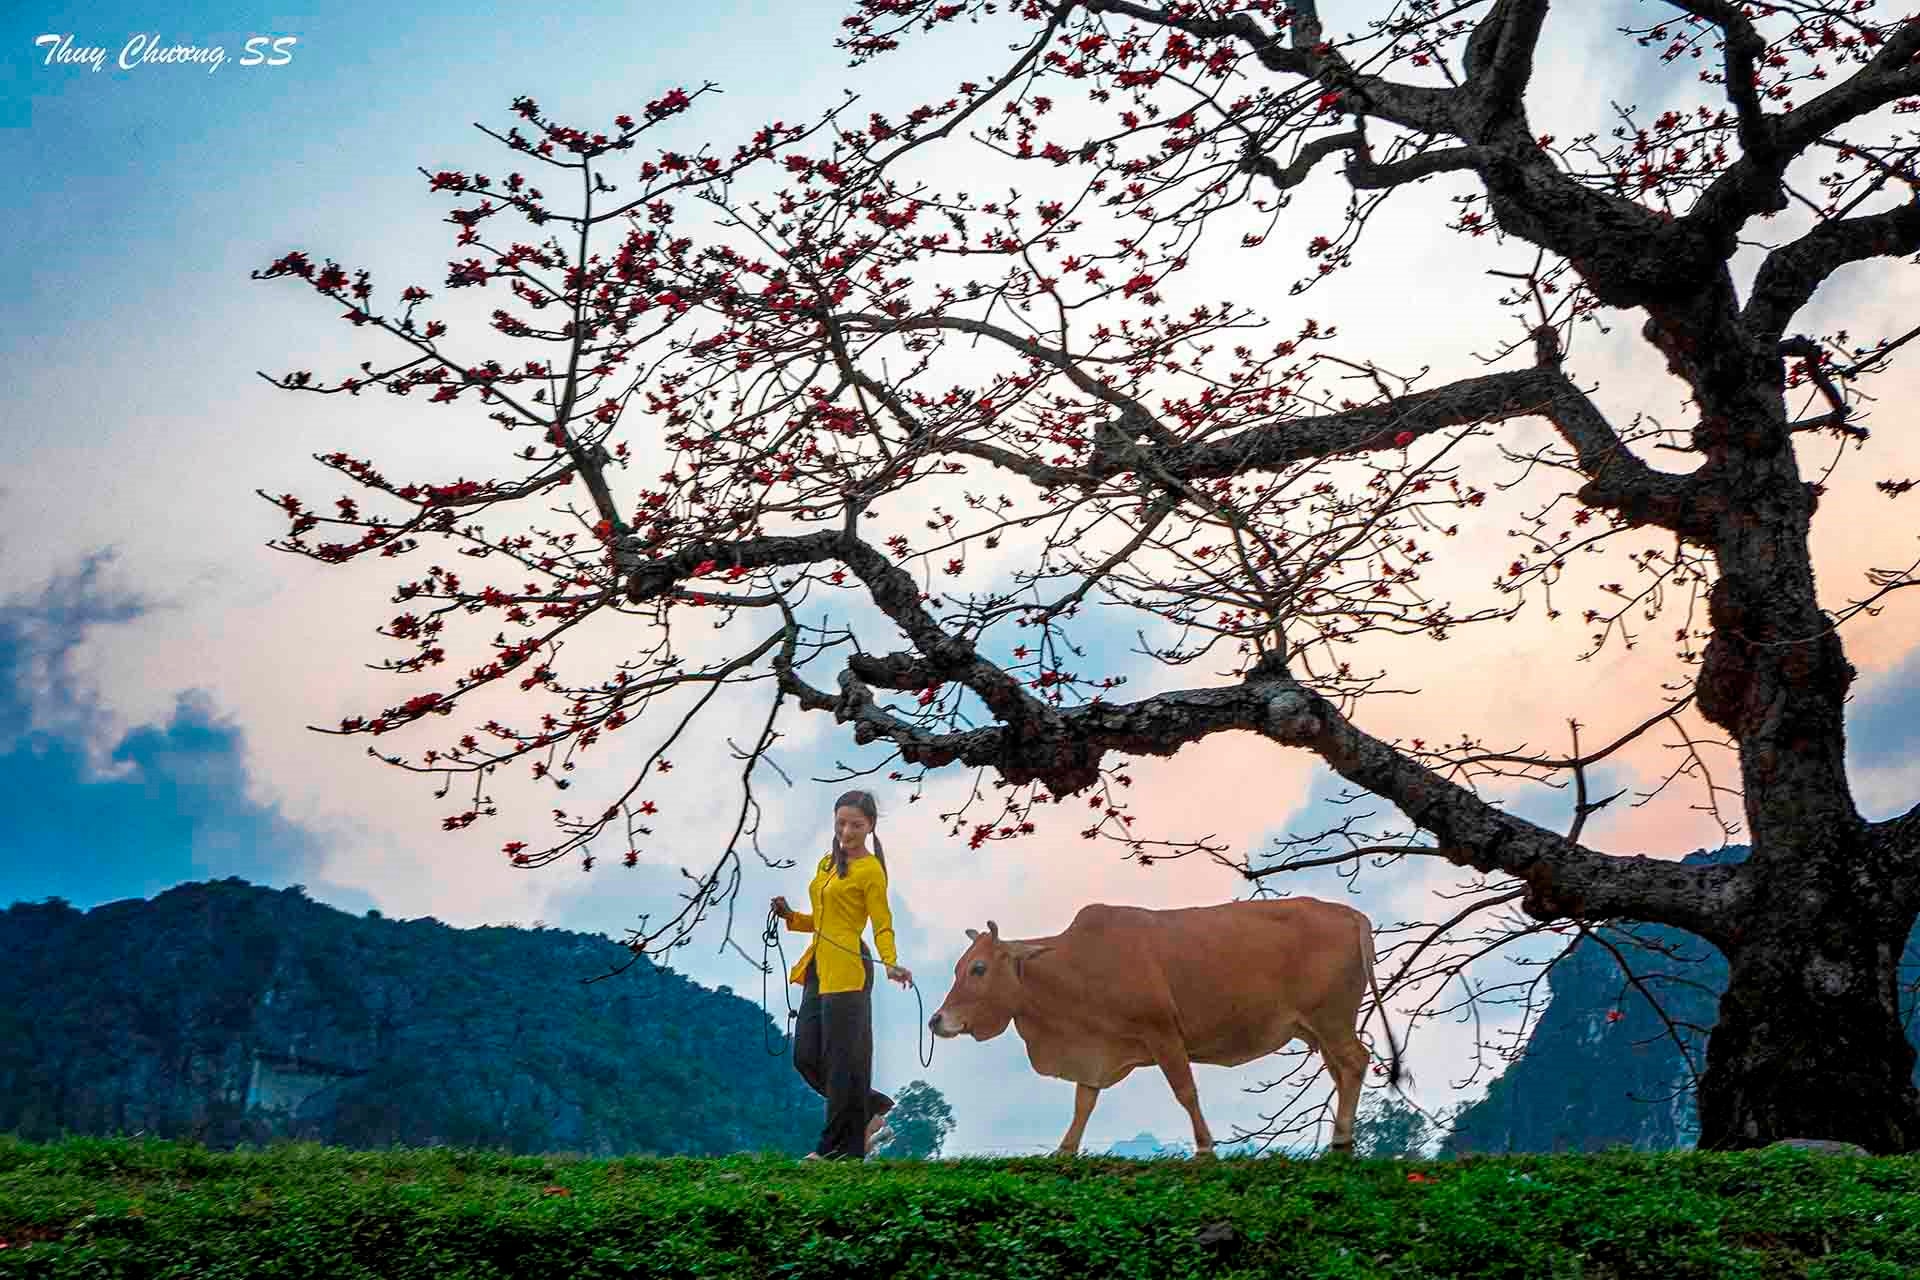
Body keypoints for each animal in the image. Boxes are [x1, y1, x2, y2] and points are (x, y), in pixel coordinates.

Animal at [921, 901, 1405, 1159]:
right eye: (960, 967)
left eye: (979, 968)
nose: (936, 1019)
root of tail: (1351, 914)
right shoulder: (1096, 1053)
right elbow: (1083, 1104)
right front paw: (1064, 1151)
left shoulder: (1162, 1034)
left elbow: (1185, 1091)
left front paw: (1205, 1148)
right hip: (1318, 1030)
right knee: (1342, 1071)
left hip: (1331, 1020)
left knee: (1355, 1062)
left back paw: (1341, 1138)